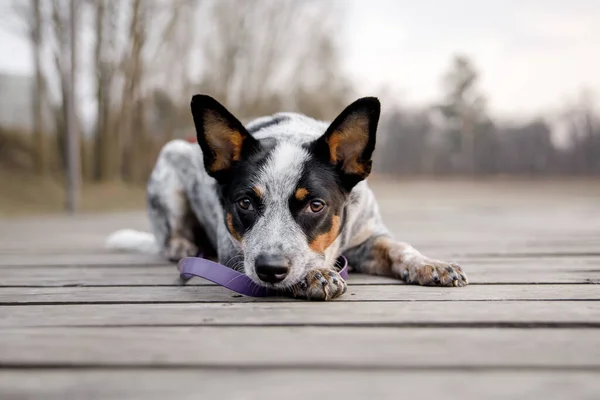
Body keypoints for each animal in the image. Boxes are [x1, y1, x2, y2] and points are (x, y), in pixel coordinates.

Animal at [105, 94, 466, 300]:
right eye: (245, 203)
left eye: (315, 205)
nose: (270, 269)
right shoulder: (233, 252)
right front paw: (311, 276)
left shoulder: (368, 237)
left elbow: (399, 248)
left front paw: (430, 264)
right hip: (171, 159)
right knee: (170, 235)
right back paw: (182, 245)